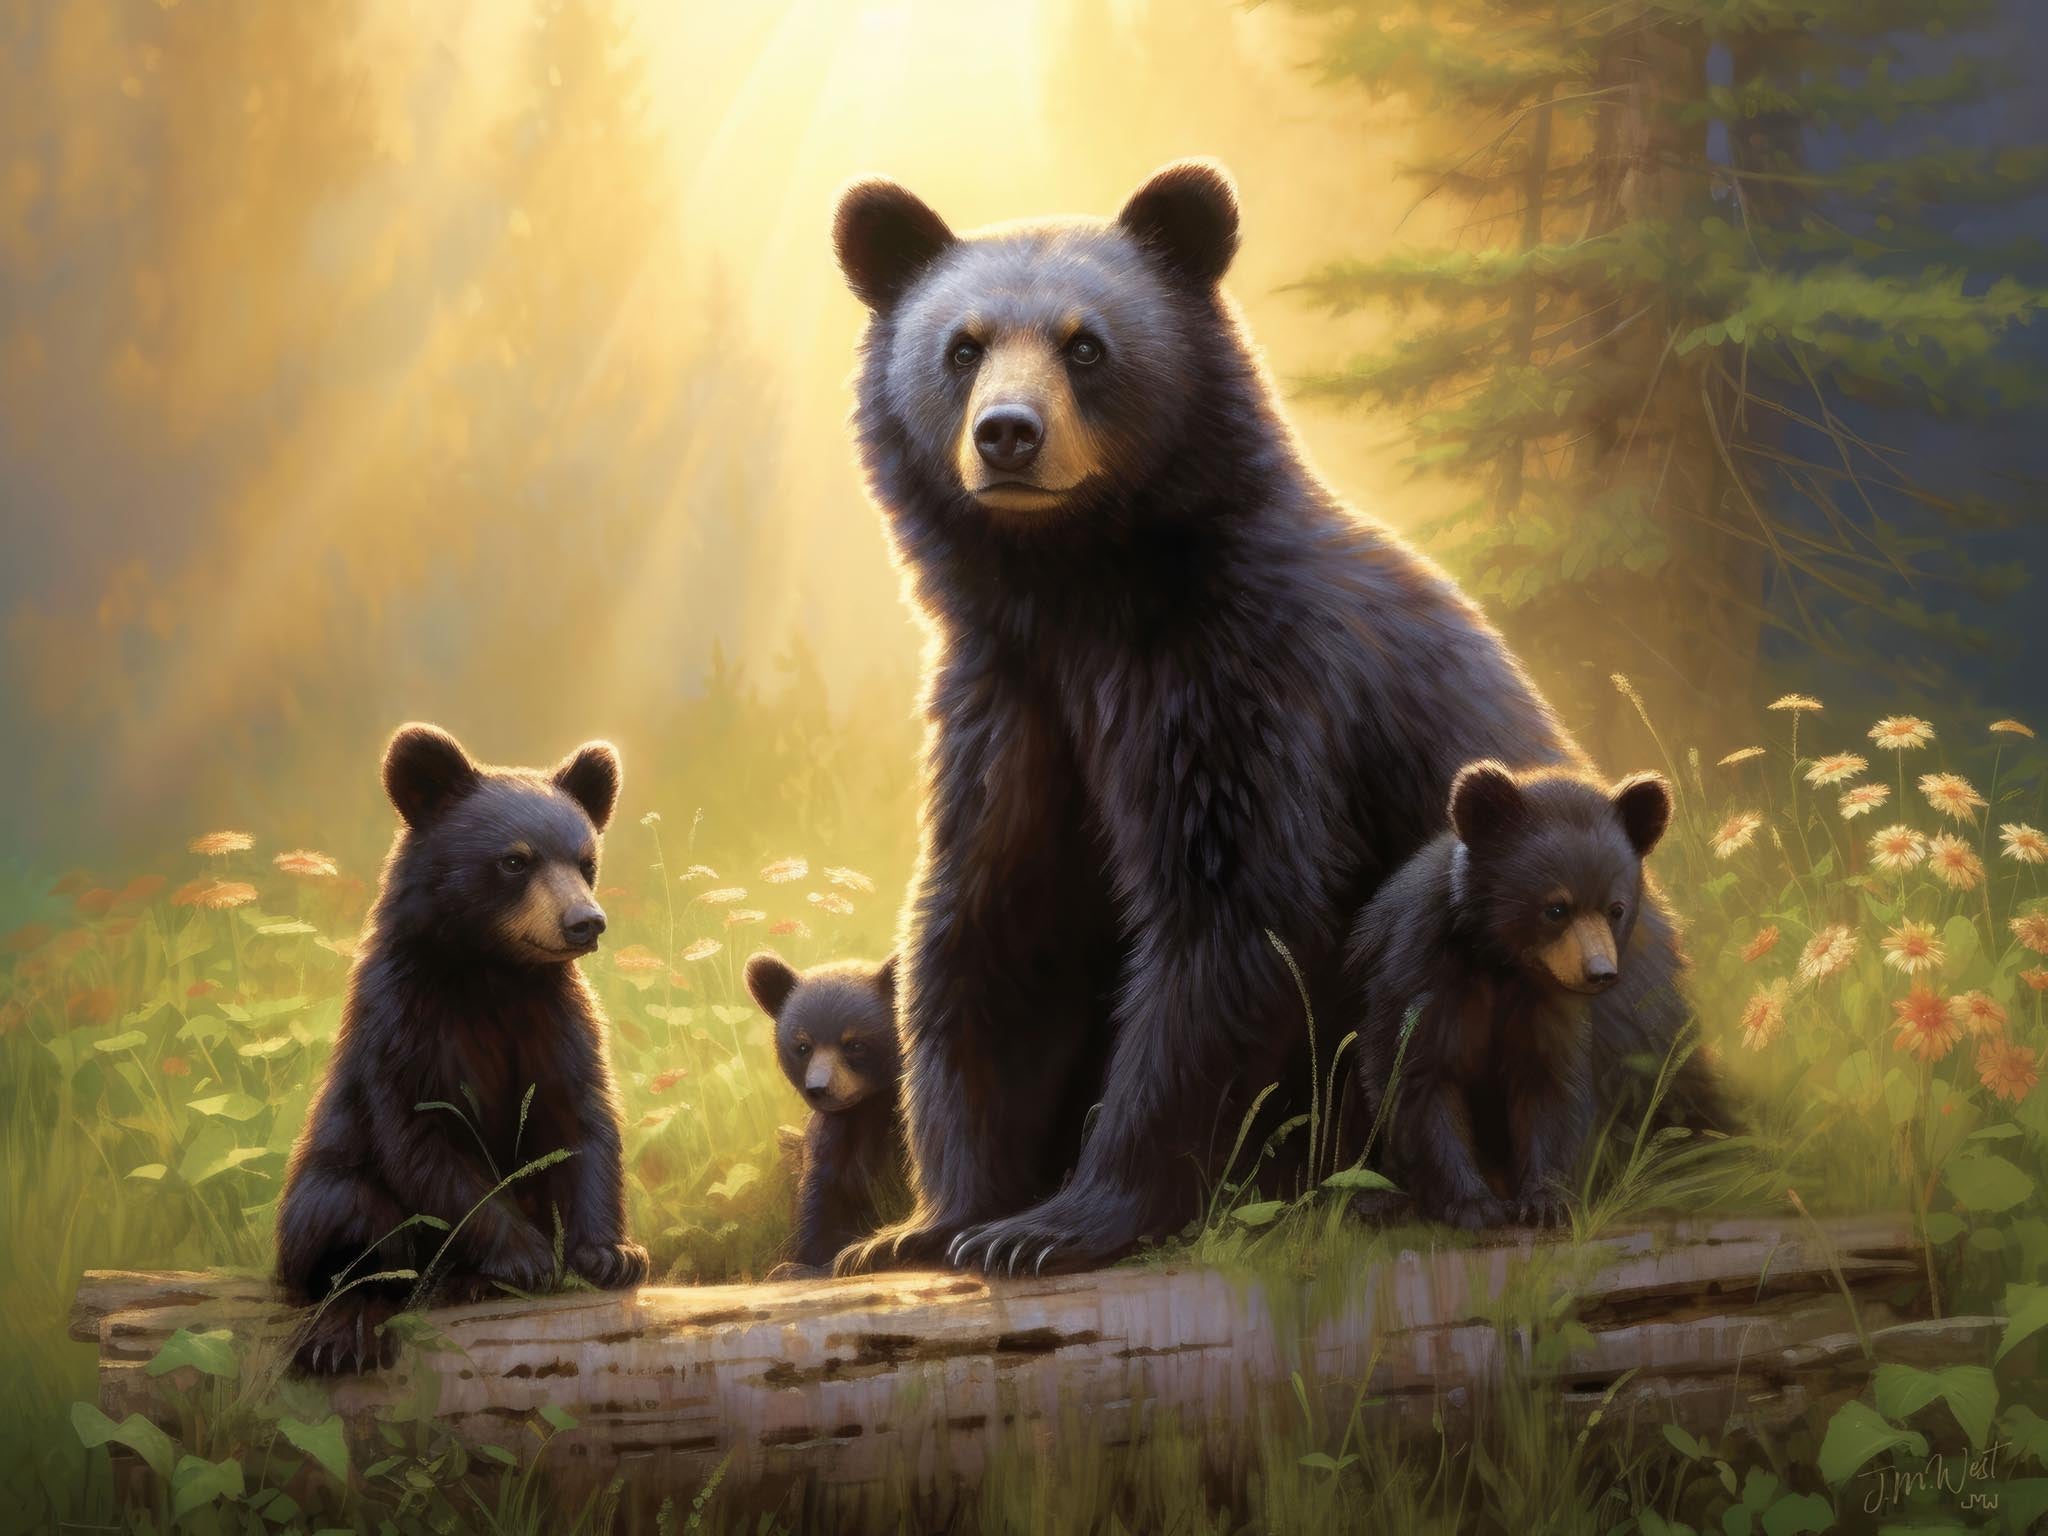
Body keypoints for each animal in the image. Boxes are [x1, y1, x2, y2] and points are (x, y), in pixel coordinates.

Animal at [275, 723, 648, 1373]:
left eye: (586, 863)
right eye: (515, 860)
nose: (586, 922)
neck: (490, 973)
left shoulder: (555, 1018)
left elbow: (581, 1121)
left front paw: (611, 1253)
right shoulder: (405, 1024)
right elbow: (426, 1139)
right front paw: (526, 1256)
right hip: (325, 1178)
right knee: (352, 1220)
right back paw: (348, 1329)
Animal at [745, 951, 908, 1276]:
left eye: (855, 1043)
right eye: (802, 1046)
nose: (819, 1088)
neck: (867, 1109)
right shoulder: (832, 1143)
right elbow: (821, 1204)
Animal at [1349, 761, 1674, 1230]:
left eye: (1615, 909)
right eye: (1555, 908)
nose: (1599, 973)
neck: (1501, 962)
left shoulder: (1546, 1005)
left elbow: (1549, 1084)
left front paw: (1546, 1201)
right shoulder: (1420, 974)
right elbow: (1419, 1081)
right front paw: (1473, 1205)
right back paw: (1377, 1202)